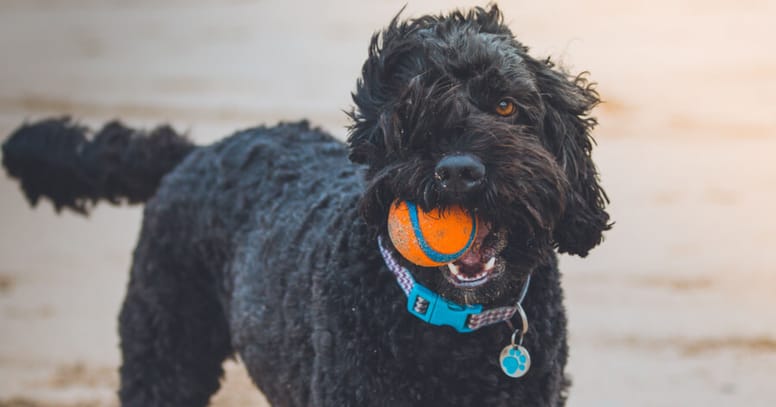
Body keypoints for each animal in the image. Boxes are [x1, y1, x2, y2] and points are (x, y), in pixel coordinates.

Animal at [1, 4, 608, 406]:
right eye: (409, 112)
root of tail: (197, 151)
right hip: (165, 352)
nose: (458, 171)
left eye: (506, 105)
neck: (451, 325)